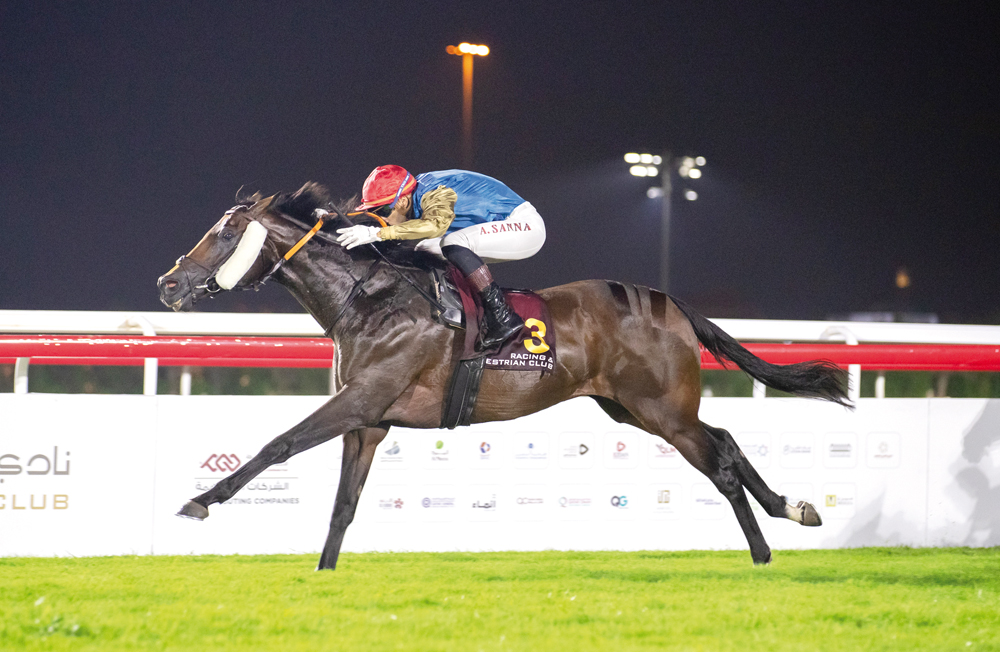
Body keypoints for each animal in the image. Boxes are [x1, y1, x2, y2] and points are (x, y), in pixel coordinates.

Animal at [158, 182, 852, 572]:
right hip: (633, 408)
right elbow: (343, 506)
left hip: (662, 409)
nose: (168, 283)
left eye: (224, 233)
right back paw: (795, 510)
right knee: (728, 441)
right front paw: (324, 574)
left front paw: (199, 500)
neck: (369, 299)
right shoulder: (370, 421)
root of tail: (671, 302)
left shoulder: (361, 399)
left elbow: (278, 445)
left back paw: (762, 553)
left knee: (721, 463)